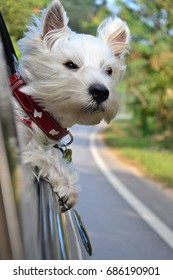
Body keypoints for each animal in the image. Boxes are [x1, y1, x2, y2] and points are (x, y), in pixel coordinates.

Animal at [12, 0, 130, 210]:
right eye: (70, 65)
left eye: (108, 70)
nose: (101, 91)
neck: (32, 111)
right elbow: (40, 153)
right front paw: (68, 187)